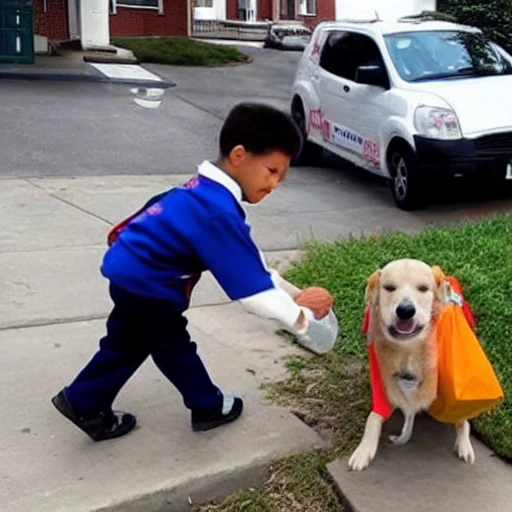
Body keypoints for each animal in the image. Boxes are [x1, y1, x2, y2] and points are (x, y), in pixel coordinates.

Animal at [348, 260, 476, 472]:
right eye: (389, 287)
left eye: (423, 288)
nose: (405, 310)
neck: (408, 349)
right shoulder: (383, 388)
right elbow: (373, 418)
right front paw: (363, 450)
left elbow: (462, 419)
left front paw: (464, 442)